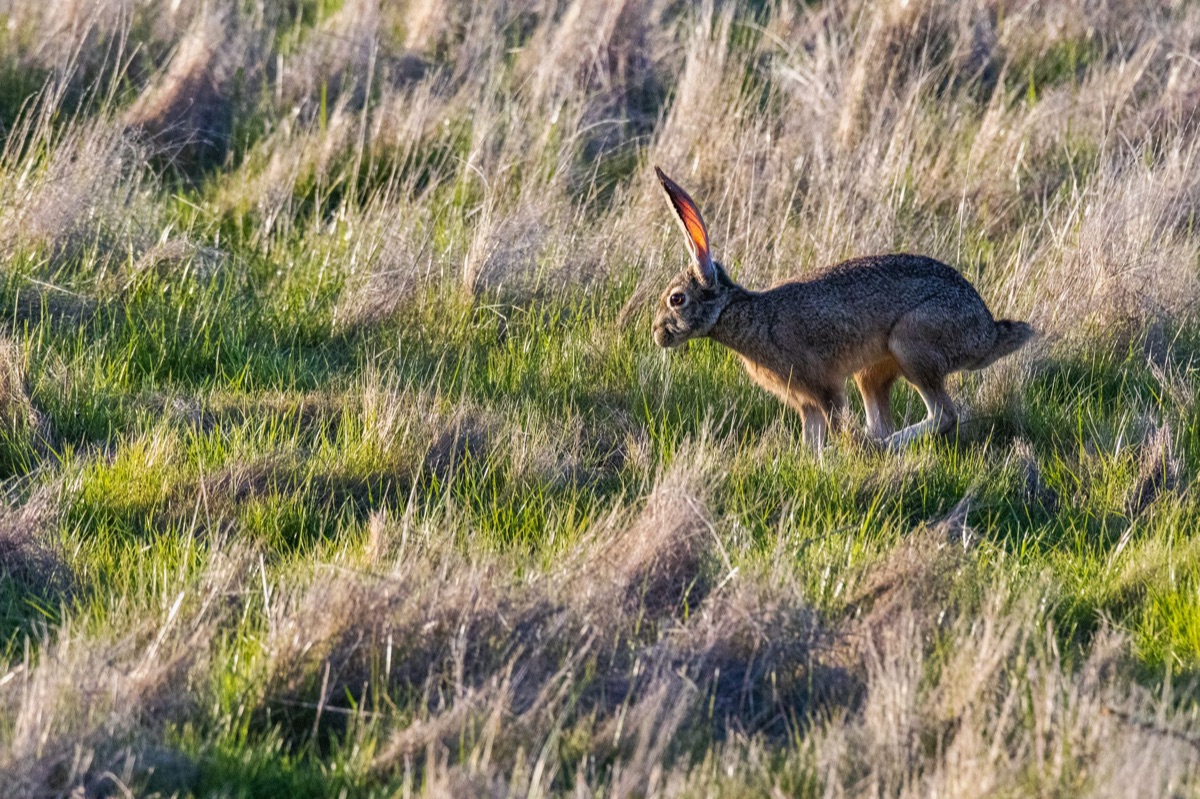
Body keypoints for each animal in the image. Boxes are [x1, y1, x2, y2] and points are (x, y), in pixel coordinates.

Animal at [651, 167, 1033, 450]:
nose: (657, 334)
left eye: (677, 299)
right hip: (875, 369)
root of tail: (987, 333)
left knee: (943, 416)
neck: (748, 315)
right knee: (883, 417)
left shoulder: (822, 388)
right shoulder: (805, 402)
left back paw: (881, 448)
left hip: (913, 344)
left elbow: (833, 423)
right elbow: (812, 438)